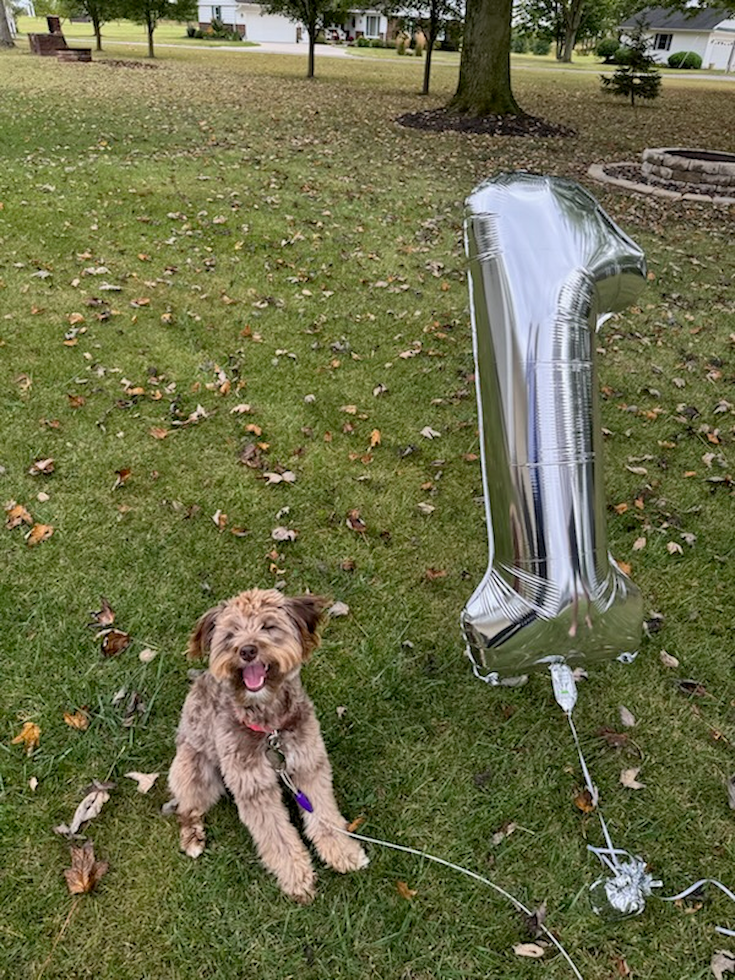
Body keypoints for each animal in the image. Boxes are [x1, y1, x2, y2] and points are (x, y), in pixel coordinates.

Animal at [170, 588, 370, 904]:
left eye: (268, 626)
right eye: (231, 634)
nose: (247, 650)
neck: (269, 726)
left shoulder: (310, 766)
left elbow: (325, 816)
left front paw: (343, 852)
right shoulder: (254, 787)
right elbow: (277, 836)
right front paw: (297, 876)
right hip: (192, 772)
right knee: (186, 809)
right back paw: (192, 837)